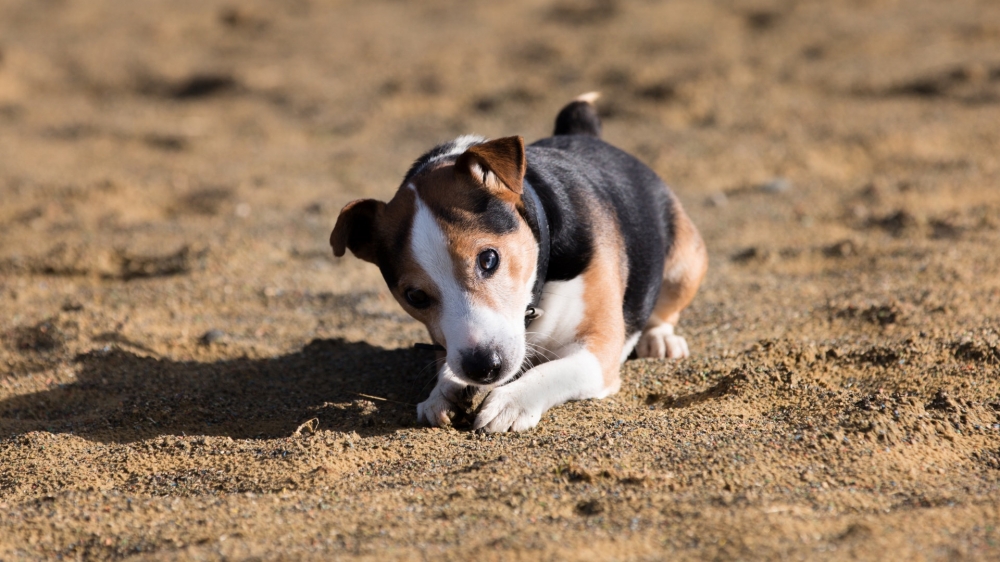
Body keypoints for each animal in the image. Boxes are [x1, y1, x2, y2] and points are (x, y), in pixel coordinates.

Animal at [332, 94, 708, 430]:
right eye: (415, 296)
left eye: (488, 259)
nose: (483, 366)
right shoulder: (449, 344)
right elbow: (448, 364)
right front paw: (441, 392)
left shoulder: (599, 349)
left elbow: (551, 370)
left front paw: (511, 401)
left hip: (683, 266)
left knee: (664, 311)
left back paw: (660, 339)